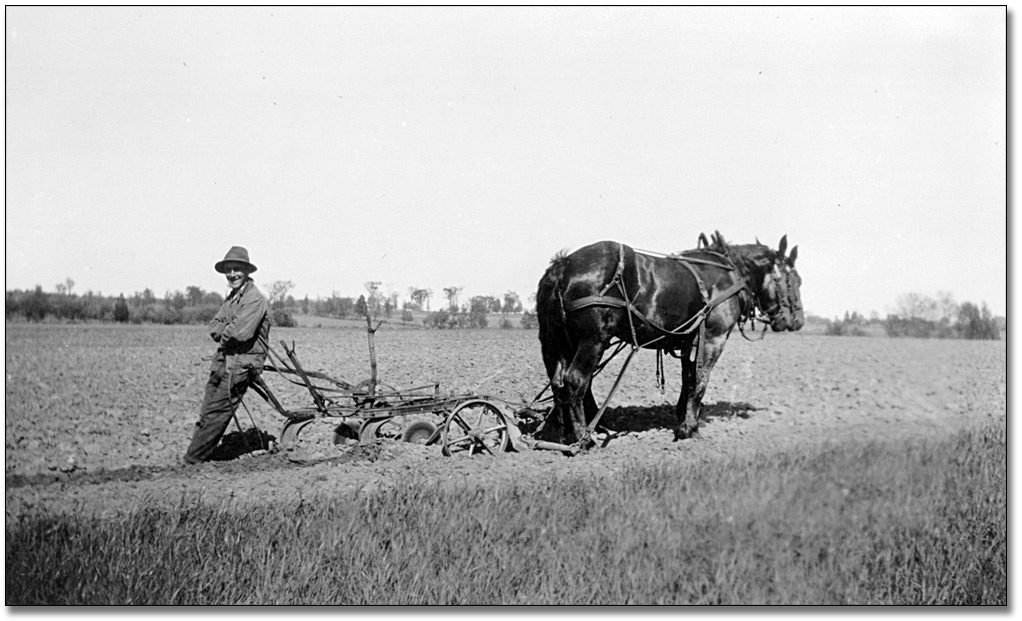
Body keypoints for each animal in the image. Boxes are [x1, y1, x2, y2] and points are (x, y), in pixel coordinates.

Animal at [535, 232, 805, 445]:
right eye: (794, 281)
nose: (797, 321)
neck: (729, 272)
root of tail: (564, 264)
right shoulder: (713, 339)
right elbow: (700, 381)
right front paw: (689, 429)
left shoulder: (690, 343)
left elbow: (688, 380)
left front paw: (683, 417)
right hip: (593, 340)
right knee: (575, 381)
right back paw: (583, 438)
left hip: (559, 342)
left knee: (560, 383)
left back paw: (564, 433)